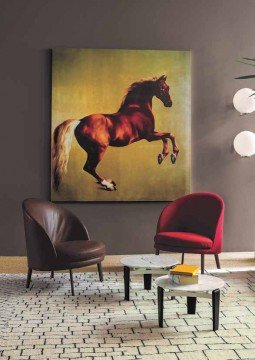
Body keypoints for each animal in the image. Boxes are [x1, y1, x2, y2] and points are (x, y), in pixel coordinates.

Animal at [51, 75, 179, 191]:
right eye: (162, 88)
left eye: (168, 87)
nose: (169, 103)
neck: (138, 108)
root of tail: (80, 121)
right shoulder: (149, 136)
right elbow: (170, 135)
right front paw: (173, 155)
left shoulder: (152, 133)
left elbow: (165, 137)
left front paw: (162, 156)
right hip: (99, 150)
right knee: (89, 167)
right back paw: (109, 185)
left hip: (92, 151)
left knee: (89, 168)